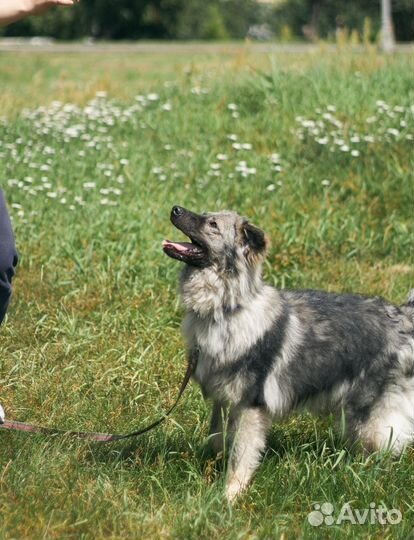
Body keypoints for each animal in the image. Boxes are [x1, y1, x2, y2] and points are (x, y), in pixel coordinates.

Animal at [162, 207, 414, 502]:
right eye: (204, 213)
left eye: (212, 224)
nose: (175, 209)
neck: (227, 309)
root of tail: (402, 316)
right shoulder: (223, 399)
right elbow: (218, 438)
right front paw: (213, 468)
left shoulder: (250, 405)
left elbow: (242, 454)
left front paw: (230, 495)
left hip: (368, 414)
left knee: (385, 446)